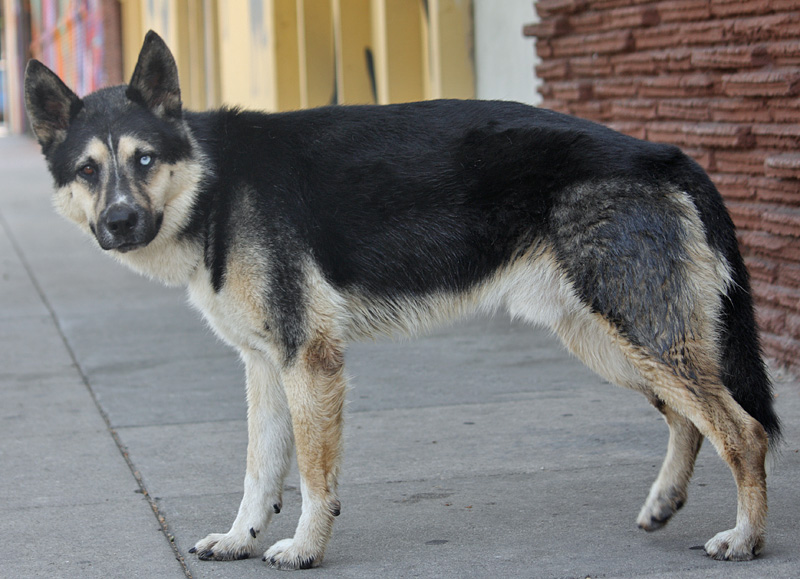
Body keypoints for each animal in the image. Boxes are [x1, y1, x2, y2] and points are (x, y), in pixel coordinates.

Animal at [26, 29, 780, 568]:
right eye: (88, 171)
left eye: (144, 160)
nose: (120, 222)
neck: (214, 183)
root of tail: (662, 151)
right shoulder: (265, 370)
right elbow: (259, 470)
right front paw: (240, 537)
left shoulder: (309, 365)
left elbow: (313, 477)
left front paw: (304, 548)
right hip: (610, 341)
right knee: (690, 419)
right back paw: (666, 501)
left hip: (637, 334)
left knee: (742, 431)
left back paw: (745, 538)